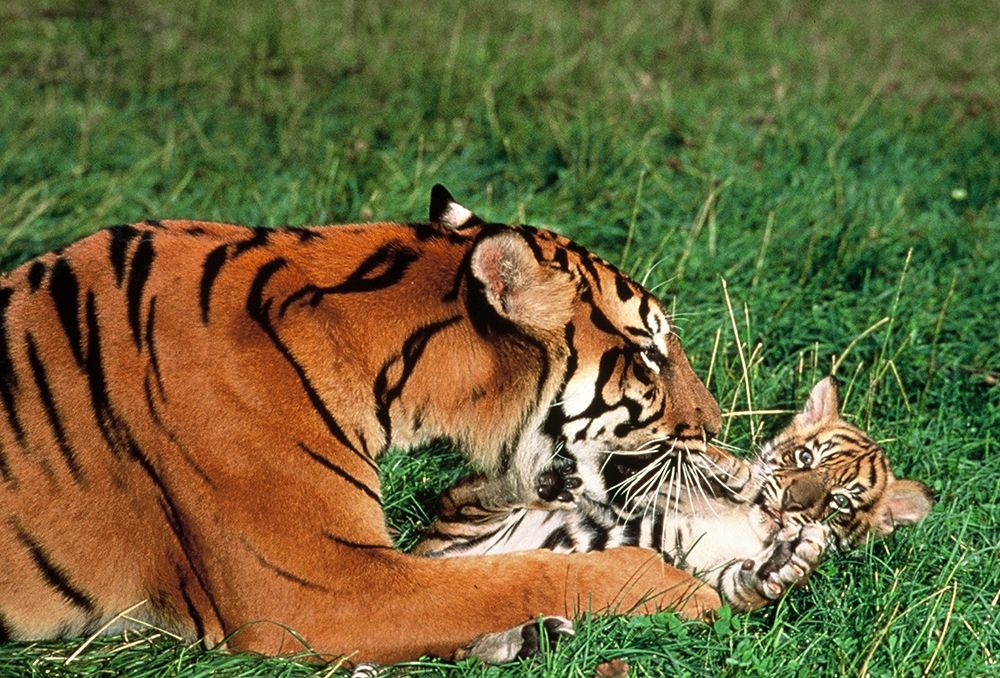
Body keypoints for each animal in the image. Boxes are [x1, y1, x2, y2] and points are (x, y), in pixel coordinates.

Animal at [415, 376, 933, 614]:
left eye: (841, 502)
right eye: (805, 457)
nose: (792, 504)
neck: (751, 529)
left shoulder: (718, 577)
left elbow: (749, 584)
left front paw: (790, 564)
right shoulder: (643, 486)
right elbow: (686, 465)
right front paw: (734, 470)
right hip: (463, 517)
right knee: (467, 493)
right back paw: (549, 479)